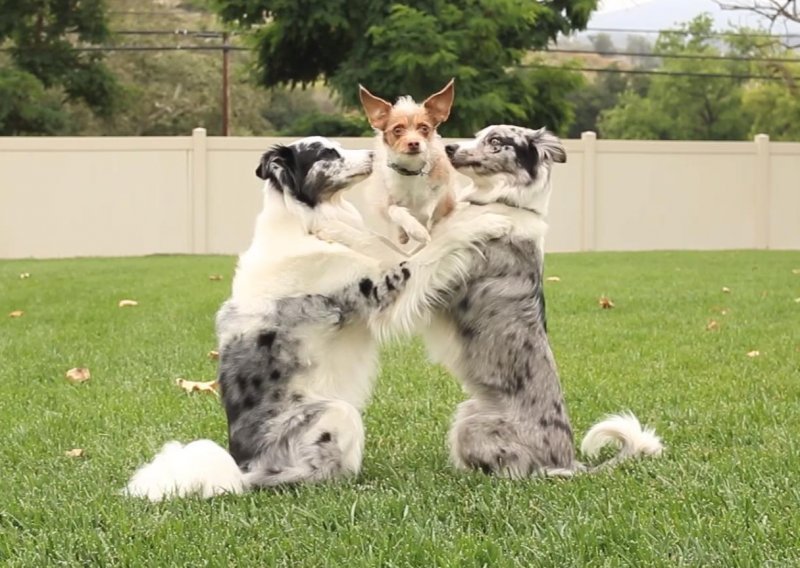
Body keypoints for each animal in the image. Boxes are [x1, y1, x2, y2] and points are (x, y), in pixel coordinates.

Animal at [125, 135, 512, 500]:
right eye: (326, 152)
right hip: (336, 413)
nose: (375, 154)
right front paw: (486, 222)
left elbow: (411, 240)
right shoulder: (383, 291)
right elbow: (435, 248)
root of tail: (244, 465)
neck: (304, 222)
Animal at [360, 79, 460, 244]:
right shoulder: (388, 200)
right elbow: (395, 211)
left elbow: (428, 208)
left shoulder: (443, 191)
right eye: (397, 130)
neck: (411, 171)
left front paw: (423, 225)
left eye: (424, 128)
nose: (413, 143)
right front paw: (415, 230)